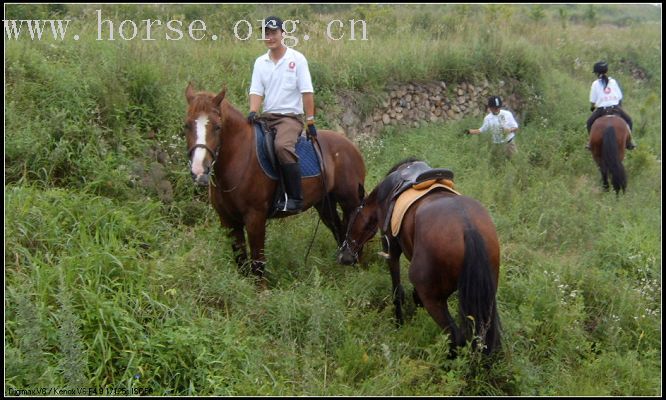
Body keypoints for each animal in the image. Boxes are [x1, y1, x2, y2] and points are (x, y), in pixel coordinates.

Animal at [184, 83, 366, 286]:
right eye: (186, 125)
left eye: (217, 127)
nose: (199, 170)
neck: (238, 159)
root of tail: (350, 145)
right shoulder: (228, 220)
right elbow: (241, 260)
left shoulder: (255, 218)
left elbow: (258, 262)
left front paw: (260, 291)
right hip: (324, 203)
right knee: (339, 230)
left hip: (350, 201)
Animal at [338, 159, 498, 356]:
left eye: (352, 217)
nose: (344, 256)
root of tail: (468, 227)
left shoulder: (391, 250)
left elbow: (397, 292)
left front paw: (399, 323)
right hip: (484, 297)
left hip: (434, 299)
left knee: (455, 336)